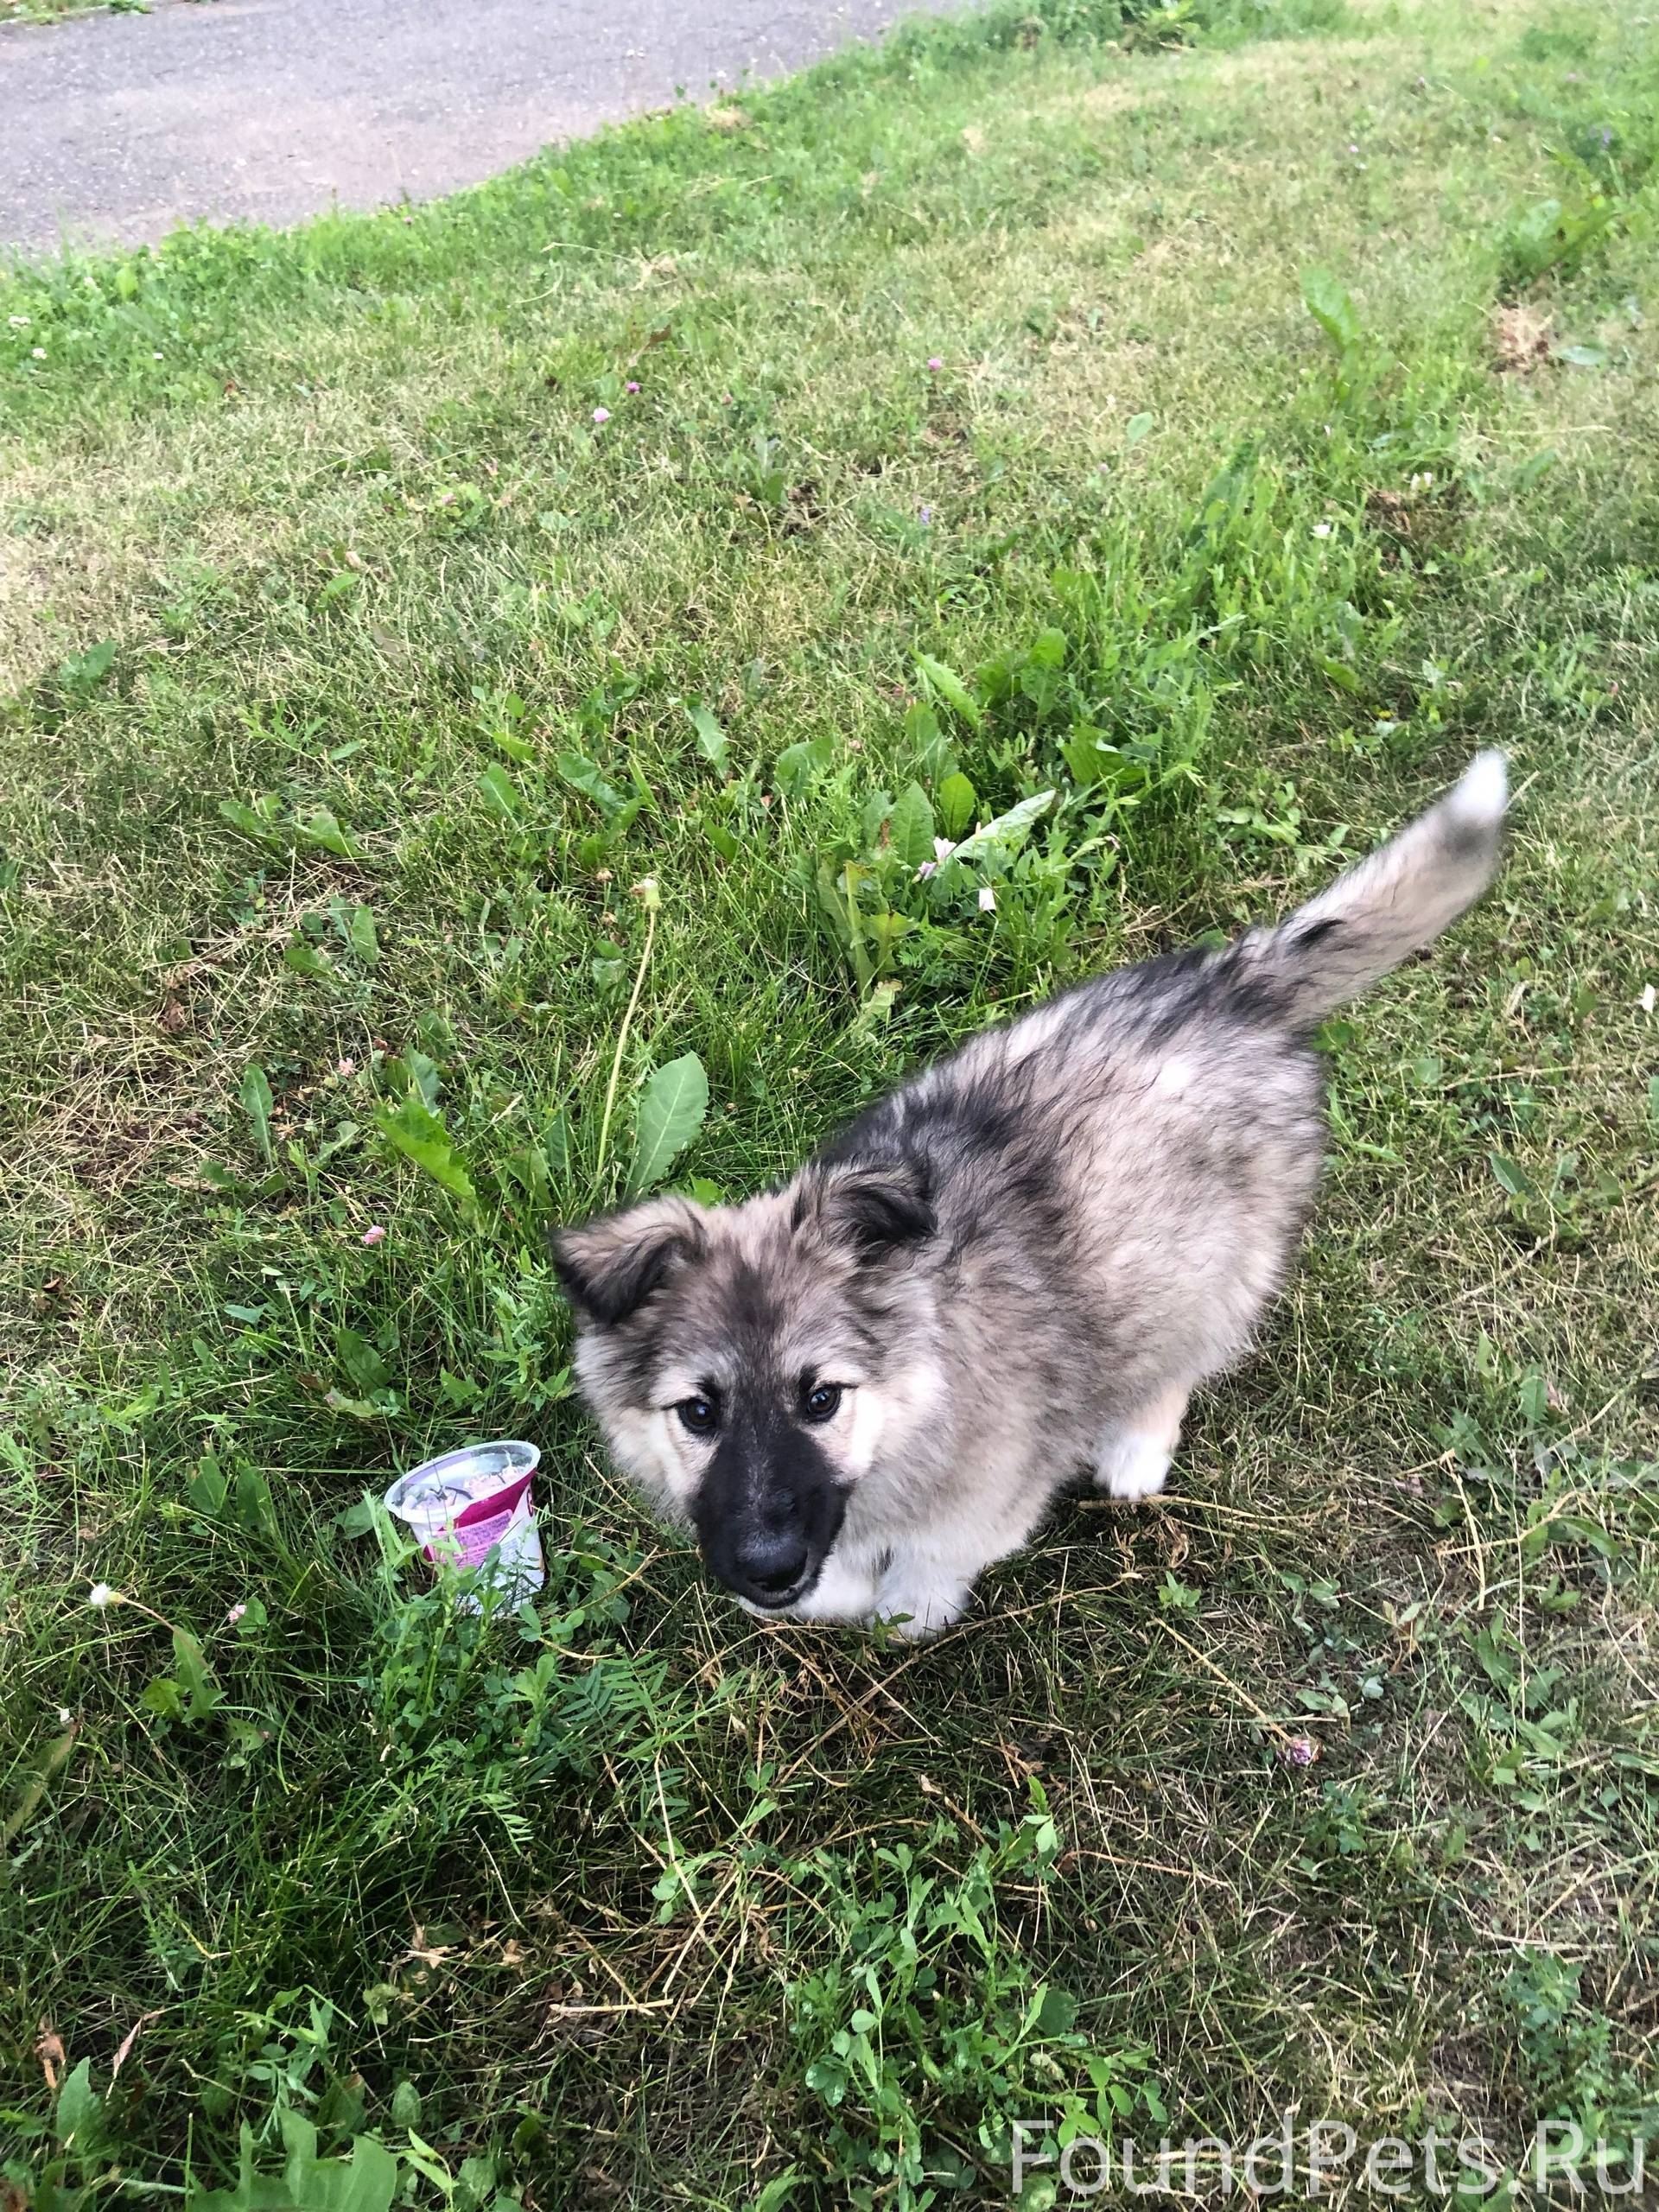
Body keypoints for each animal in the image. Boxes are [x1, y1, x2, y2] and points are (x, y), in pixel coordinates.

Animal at [555, 752, 1503, 1637]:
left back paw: (1136, 1447)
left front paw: (907, 1611)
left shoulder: (981, 1504)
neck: (924, 1382)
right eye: (699, 1411)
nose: (766, 1568)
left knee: (1181, 1356)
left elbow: (929, 1565)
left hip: (1216, 1257)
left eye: (821, 1398)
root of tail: (1241, 985)